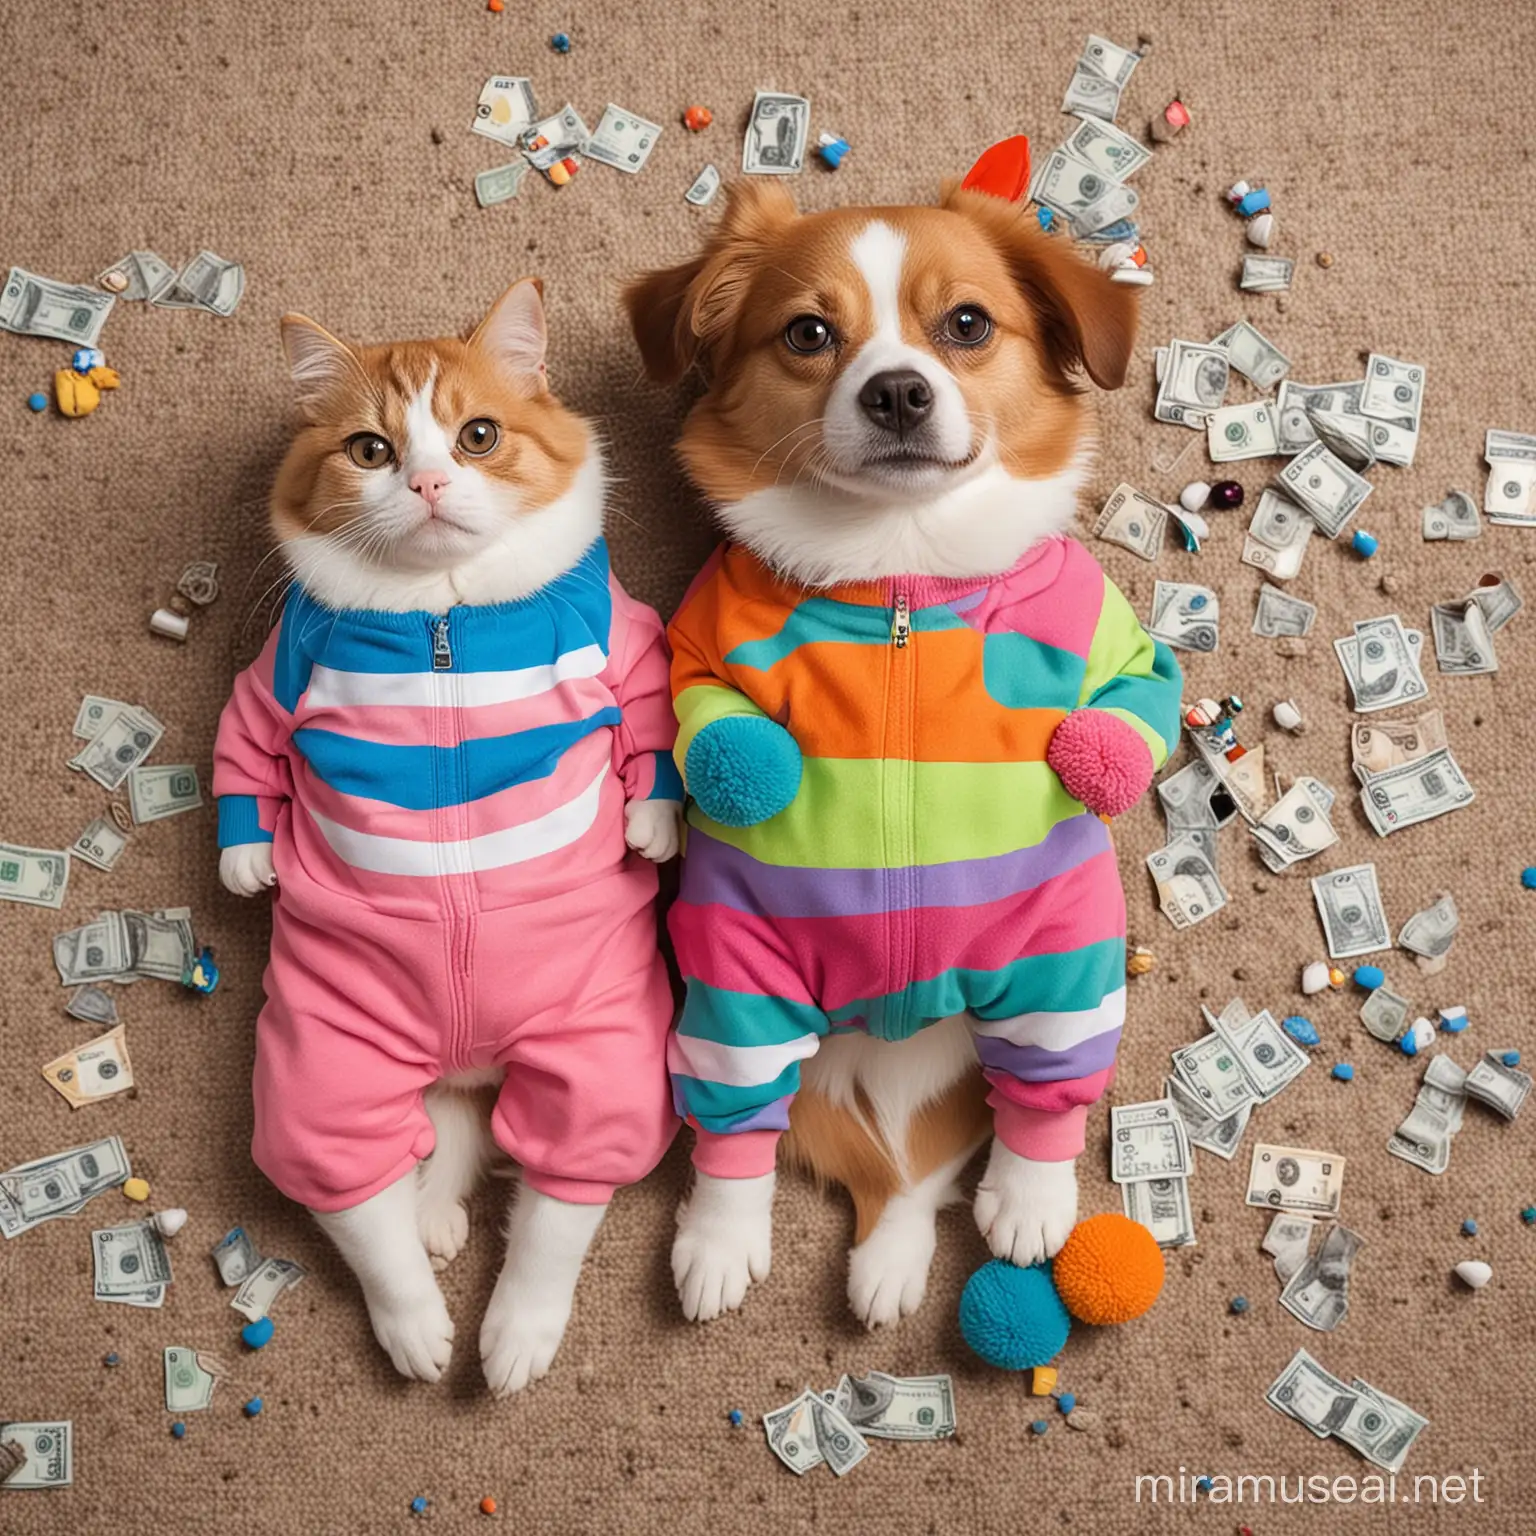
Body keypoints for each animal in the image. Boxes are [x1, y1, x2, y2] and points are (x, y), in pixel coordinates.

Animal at [213, 276, 681, 1394]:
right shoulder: (279, 668)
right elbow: (243, 744)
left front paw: (649, 822)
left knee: (556, 1198)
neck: (442, 619)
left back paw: (513, 1332)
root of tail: (468, 1059)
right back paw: (418, 1312)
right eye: (369, 450)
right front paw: (247, 856)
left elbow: (651, 715)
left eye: (478, 436)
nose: (427, 483)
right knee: (360, 1197)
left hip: (598, 1050)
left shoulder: (623, 634)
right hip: (329, 1058)